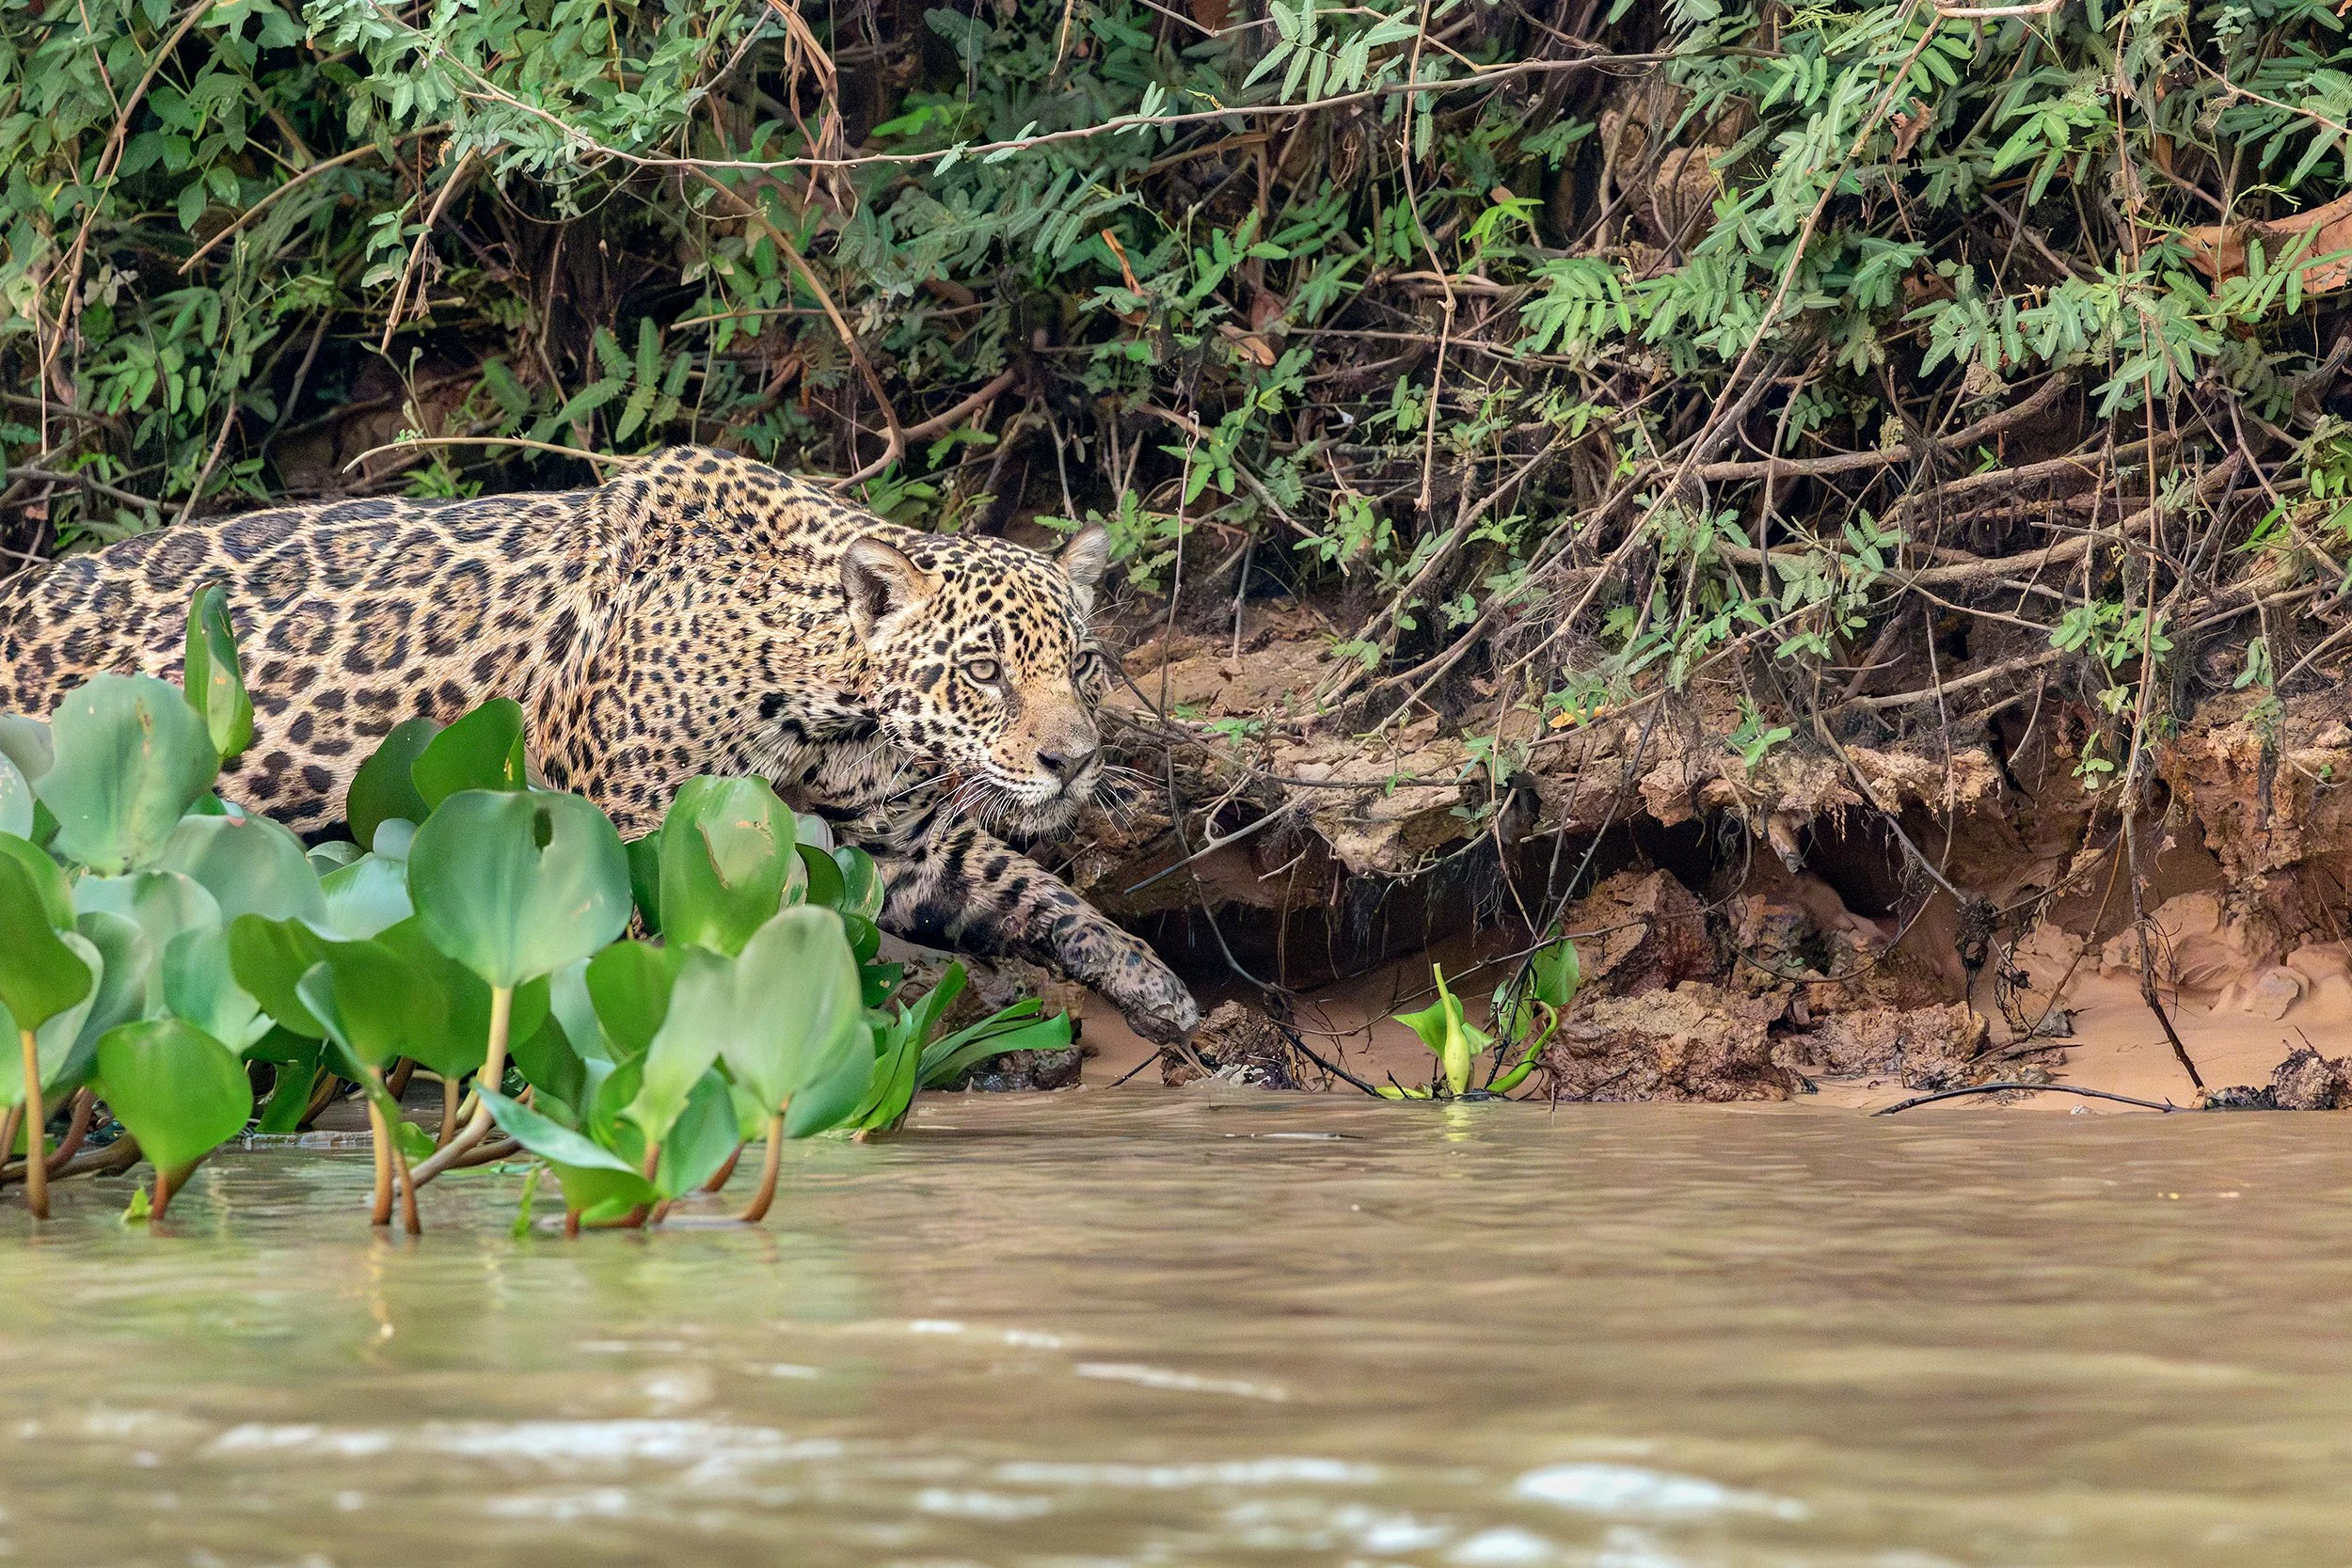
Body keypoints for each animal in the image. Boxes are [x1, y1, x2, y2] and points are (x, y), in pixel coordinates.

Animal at [0, 445, 1201, 1043]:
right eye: (983, 669)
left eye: (1081, 664)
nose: (1073, 760)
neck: (830, 701)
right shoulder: (625, 836)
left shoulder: (904, 844)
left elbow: (1040, 890)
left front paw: (1154, 985)